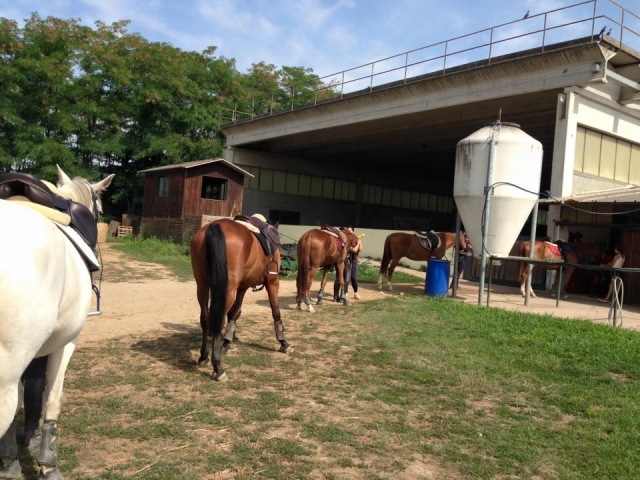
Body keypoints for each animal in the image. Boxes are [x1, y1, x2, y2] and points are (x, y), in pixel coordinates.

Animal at [0, 165, 114, 479]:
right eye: (100, 208)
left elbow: (27, 395)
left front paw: (12, 458)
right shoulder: (66, 342)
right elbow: (52, 399)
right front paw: (48, 464)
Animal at [190, 215, 292, 382]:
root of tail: (215, 226)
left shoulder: (242, 287)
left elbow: (234, 313)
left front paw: (227, 342)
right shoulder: (272, 282)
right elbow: (276, 311)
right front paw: (283, 342)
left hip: (202, 286)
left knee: (205, 318)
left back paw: (204, 357)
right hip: (227, 290)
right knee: (216, 321)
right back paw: (218, 368)